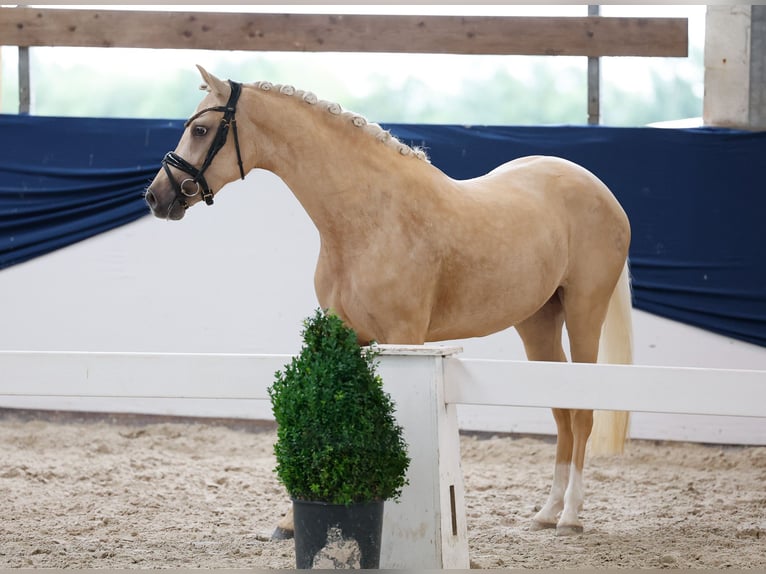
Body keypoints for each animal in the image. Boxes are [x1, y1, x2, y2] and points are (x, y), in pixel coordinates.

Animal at [145, 65, 633, 537]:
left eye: (202, 130)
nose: (156, 196)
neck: (370, 218)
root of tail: (599, 189)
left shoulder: (406, 339)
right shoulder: (347, 335)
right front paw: (291, 521)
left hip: (584, 311)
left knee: (583, 413)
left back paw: (571, 515)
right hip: (537, 322)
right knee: (562, 410)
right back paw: (548, 512)